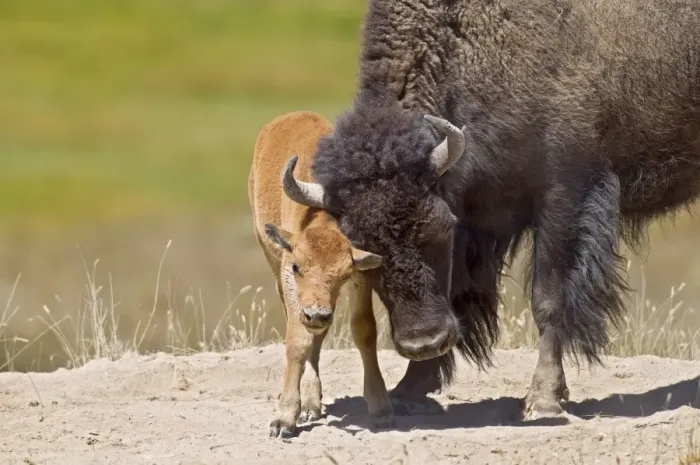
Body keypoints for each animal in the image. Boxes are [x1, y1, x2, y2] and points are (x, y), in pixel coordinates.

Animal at [248, 111, 396, 438]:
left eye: (344, 273)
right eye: (297, 266)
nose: (316, 314)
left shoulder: (359, 278)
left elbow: (364, 331)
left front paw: (381, 406)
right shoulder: (288, 277)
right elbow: (298, 342)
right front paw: (283, 420)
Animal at [280, 0, 700, 421]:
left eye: (438, 227)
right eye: (362, 250)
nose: (423, 342)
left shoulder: (564, 194)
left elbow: (548, 298)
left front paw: (543, 400)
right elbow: (457, 294)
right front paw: (410, 389)